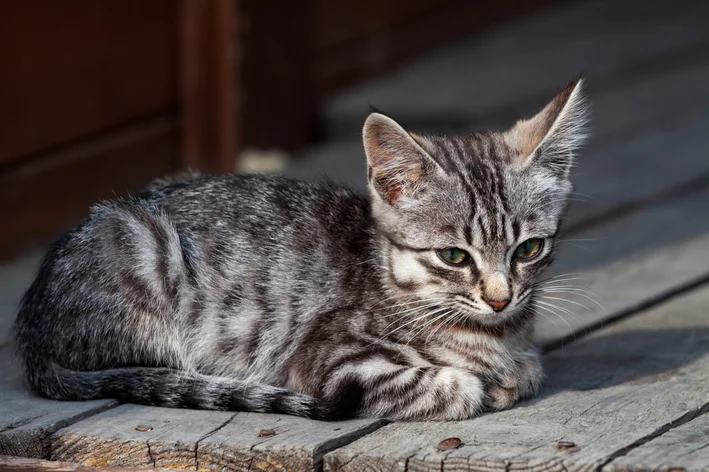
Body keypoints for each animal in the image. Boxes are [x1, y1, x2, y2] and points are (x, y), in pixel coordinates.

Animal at [12, 77, 588, 420]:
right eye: (454, 257)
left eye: (529, 249)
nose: (500, 298)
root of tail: (31, 329)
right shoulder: (329, 356)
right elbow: (456, 386)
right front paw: (484, 383)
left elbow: (529, 366)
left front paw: (512, 372)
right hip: (142, 255)